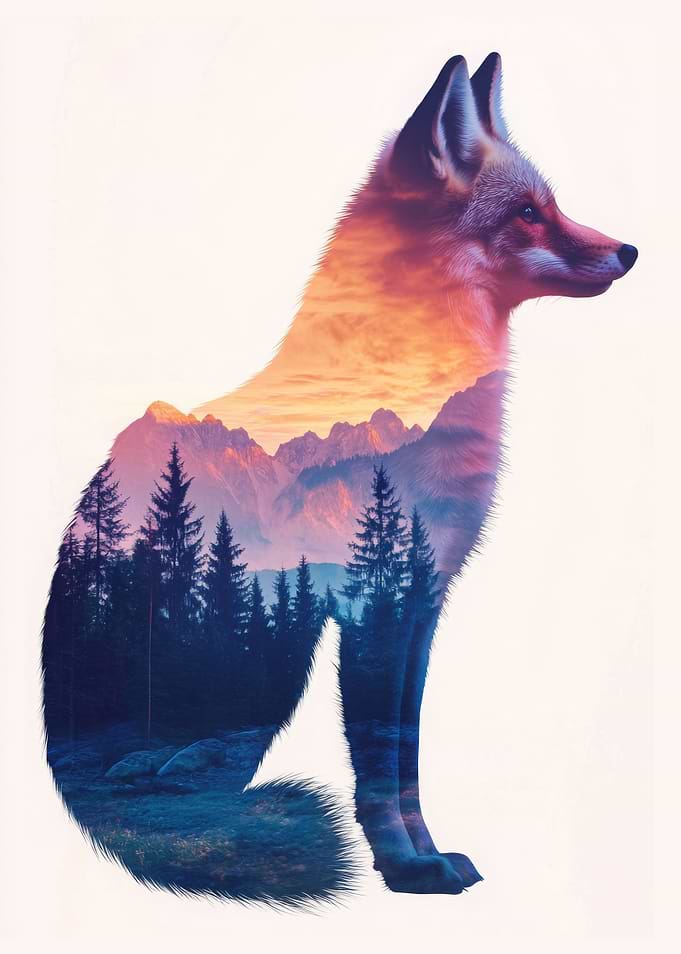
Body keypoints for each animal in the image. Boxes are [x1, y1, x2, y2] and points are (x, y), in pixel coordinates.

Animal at [42, 52, 638, 903]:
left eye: (550, 204)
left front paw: (424, 856)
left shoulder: (421, 602)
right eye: (527, 213)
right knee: (170, 778)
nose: (630, 251)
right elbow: (378, 764)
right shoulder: (372, 601)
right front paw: (406, 868)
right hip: (261, 668)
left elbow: (407, 759)